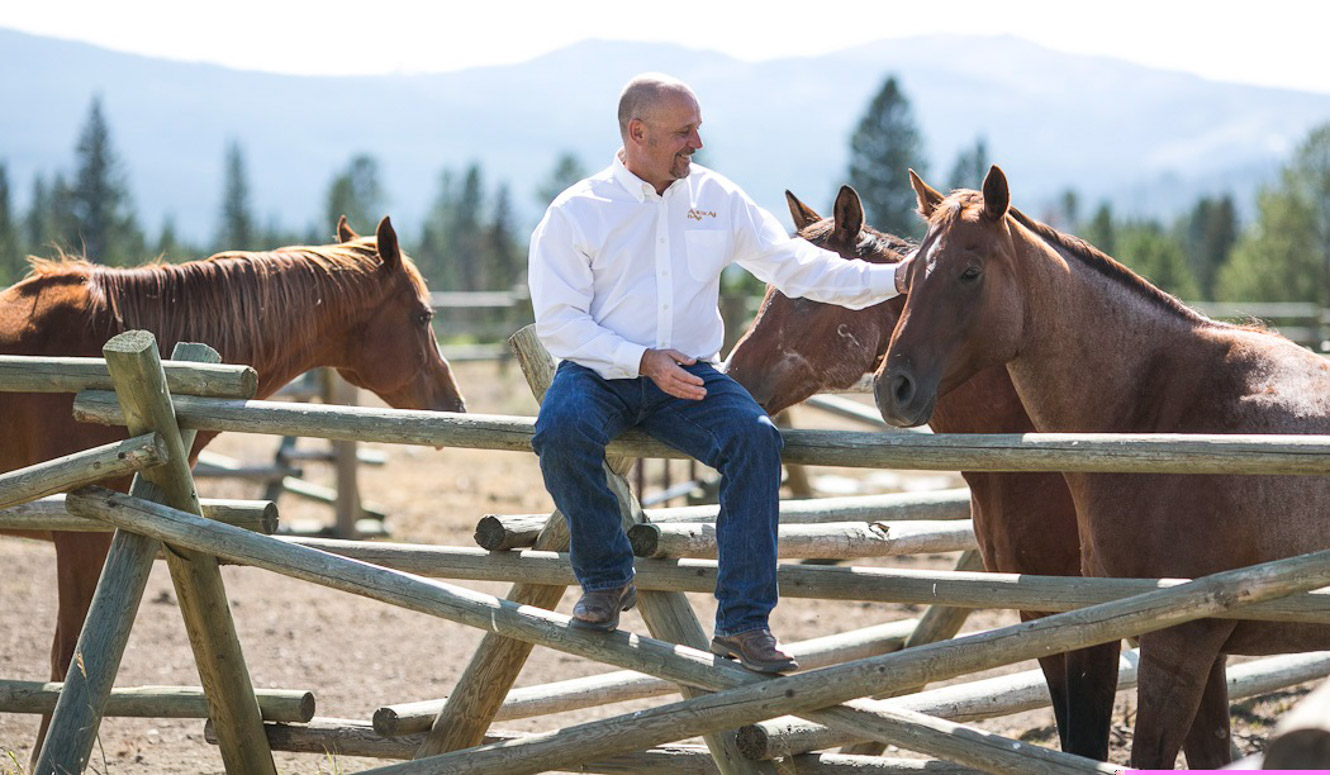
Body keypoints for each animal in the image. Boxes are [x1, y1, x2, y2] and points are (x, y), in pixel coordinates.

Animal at [877, 165, 1330, 771]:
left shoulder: (1176, 647)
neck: (1156, 414)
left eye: (969, 273)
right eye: (906, 279)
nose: (892, 387)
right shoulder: (1193, 648)